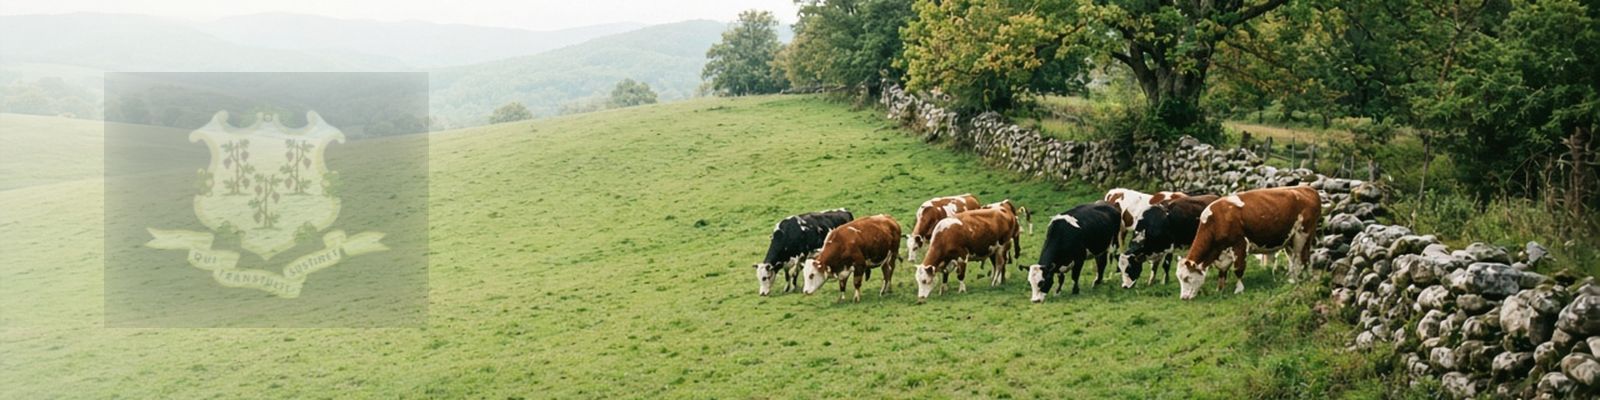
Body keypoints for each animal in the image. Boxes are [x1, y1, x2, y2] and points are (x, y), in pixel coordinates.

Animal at [1177, 186, 1321, 300]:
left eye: (1187, 278)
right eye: (1179, 278)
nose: (1183, 298)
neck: (1217, 220)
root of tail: (1308, 189)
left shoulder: (1239, 244)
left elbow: (1238, 268)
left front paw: (1239, 289)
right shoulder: (1222, 252)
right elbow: (1222, 271)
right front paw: (1220, 289)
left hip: (1303, 235)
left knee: (1303, 258)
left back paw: (1303, 278)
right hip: (1290, 240)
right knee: (1292, 259)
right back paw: (1291, 278)